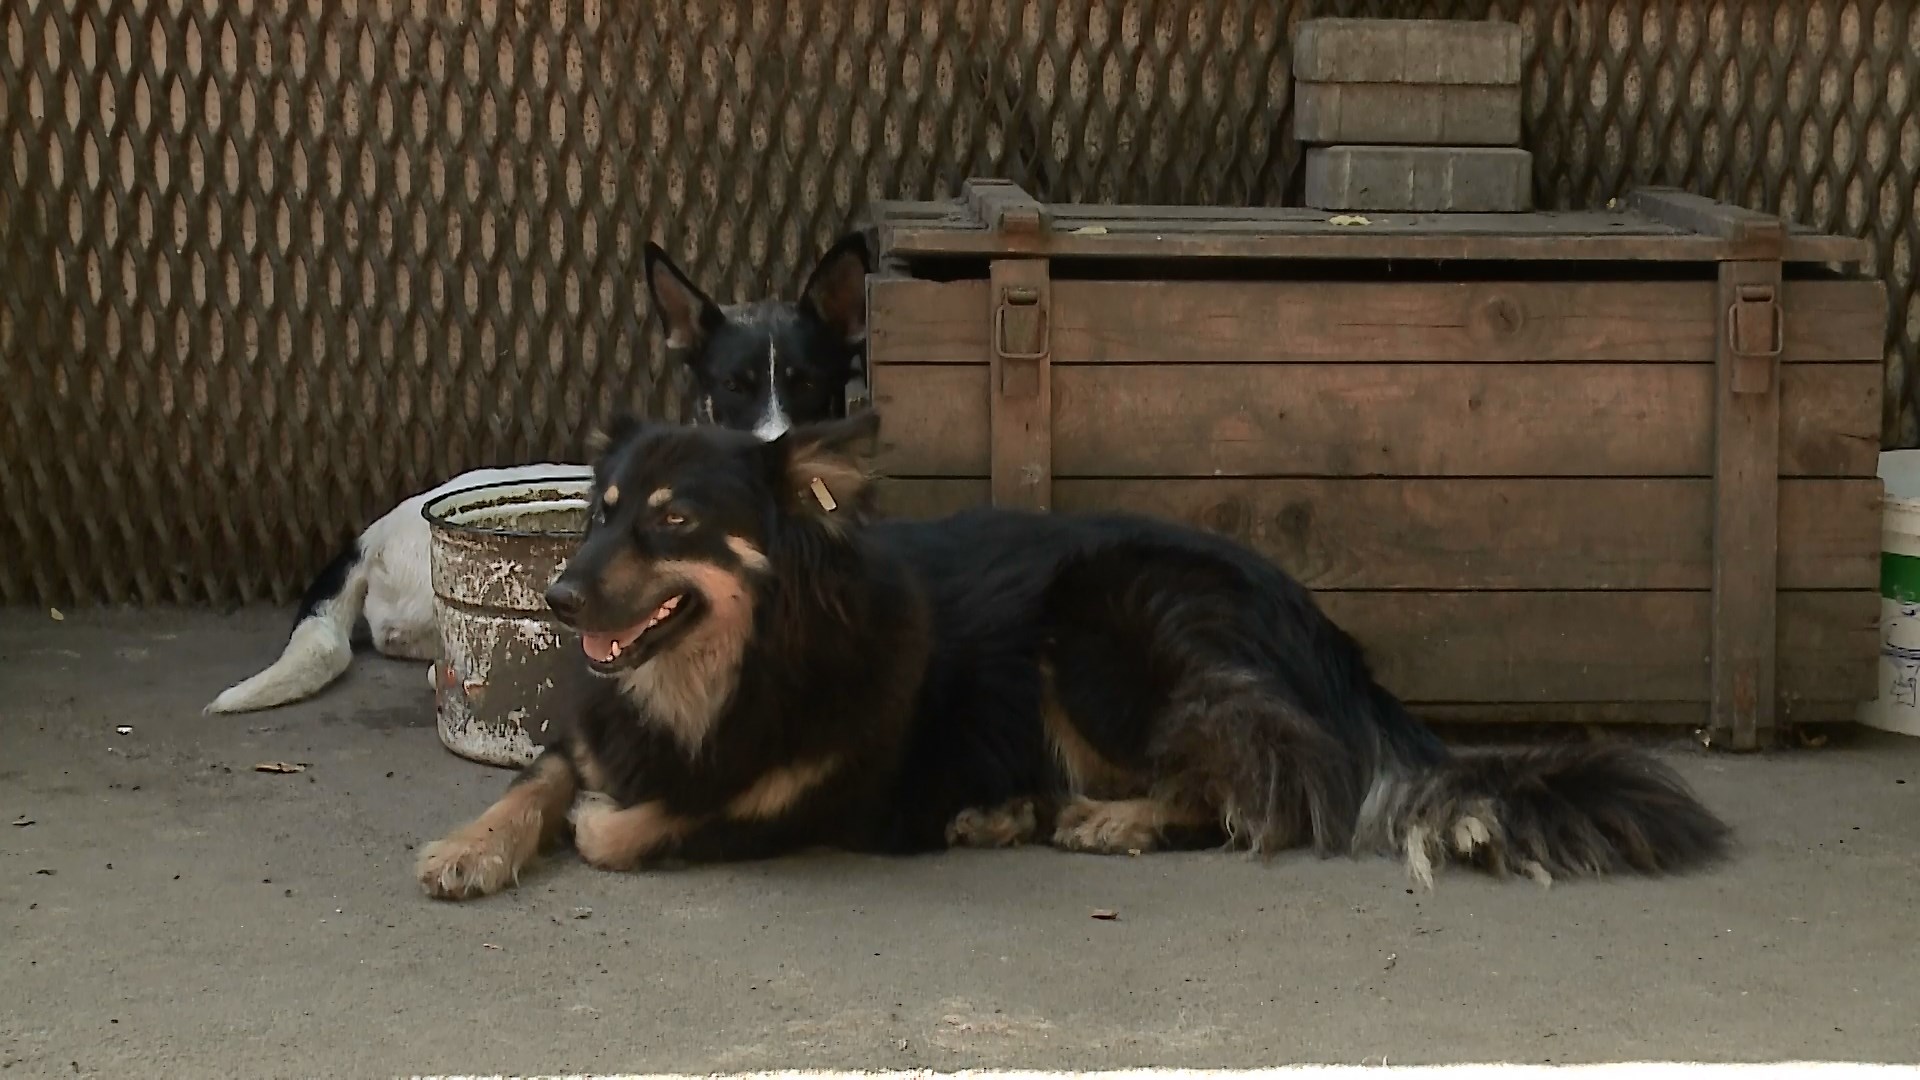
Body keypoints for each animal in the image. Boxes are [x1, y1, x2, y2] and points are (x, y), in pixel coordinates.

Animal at [412, 411, 1735, 891]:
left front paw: (601, 826)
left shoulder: (790, 803)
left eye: (674, 521)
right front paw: (470, 846)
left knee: (1268, 782)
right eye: (597, 512)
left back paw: (1111, 819)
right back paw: (1011, 811)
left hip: (1102, 620)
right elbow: (538, 783)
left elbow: (637, 826)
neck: (718, 674)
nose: (557, 595)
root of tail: (1324, 634)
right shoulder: (589, 733)